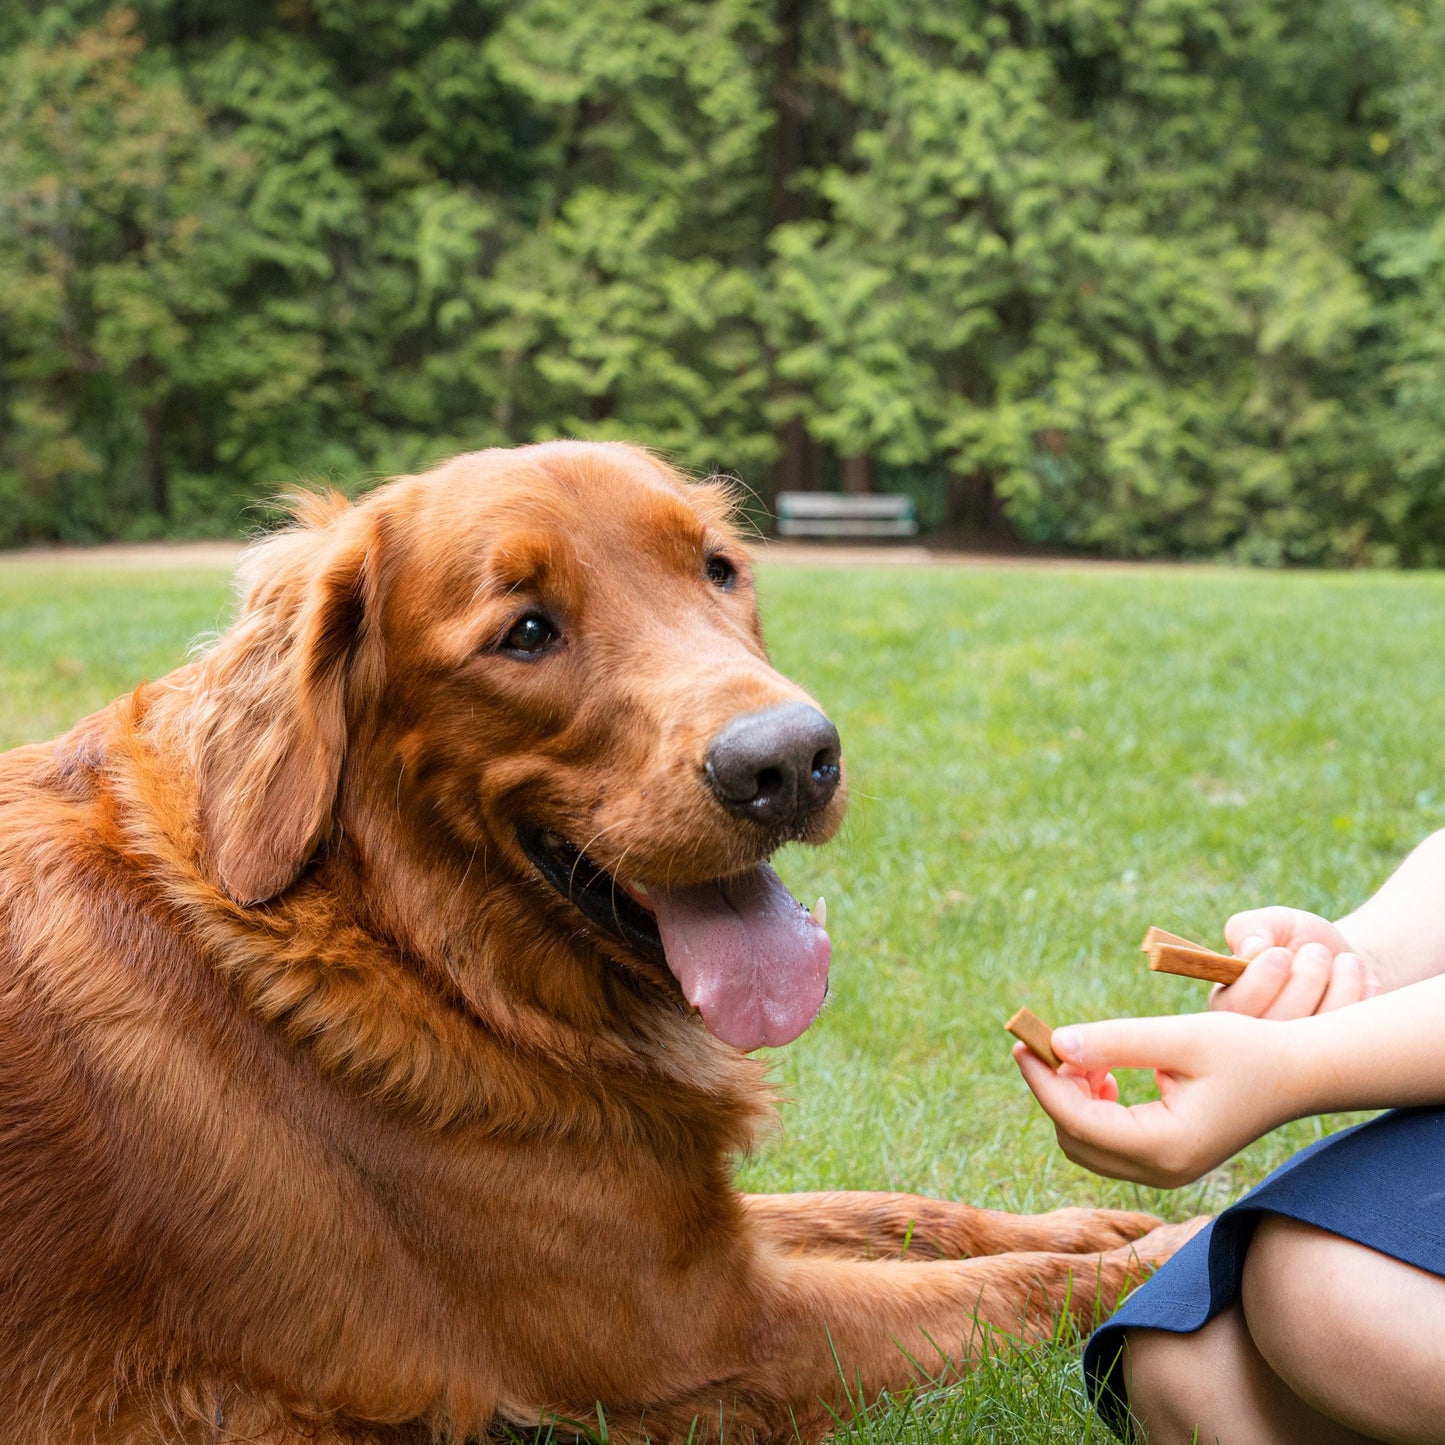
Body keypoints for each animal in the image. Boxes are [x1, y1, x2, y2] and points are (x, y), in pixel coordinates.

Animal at [0, 442, 1190, 1445]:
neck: (417, 950)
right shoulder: (710, 1334)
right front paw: (1163, 1250)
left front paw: (1086, 1220)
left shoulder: (687, 1219)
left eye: (719, 570)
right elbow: (1017, 1286)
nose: (790, 760)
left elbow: (892, 1207)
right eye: (525, 632)